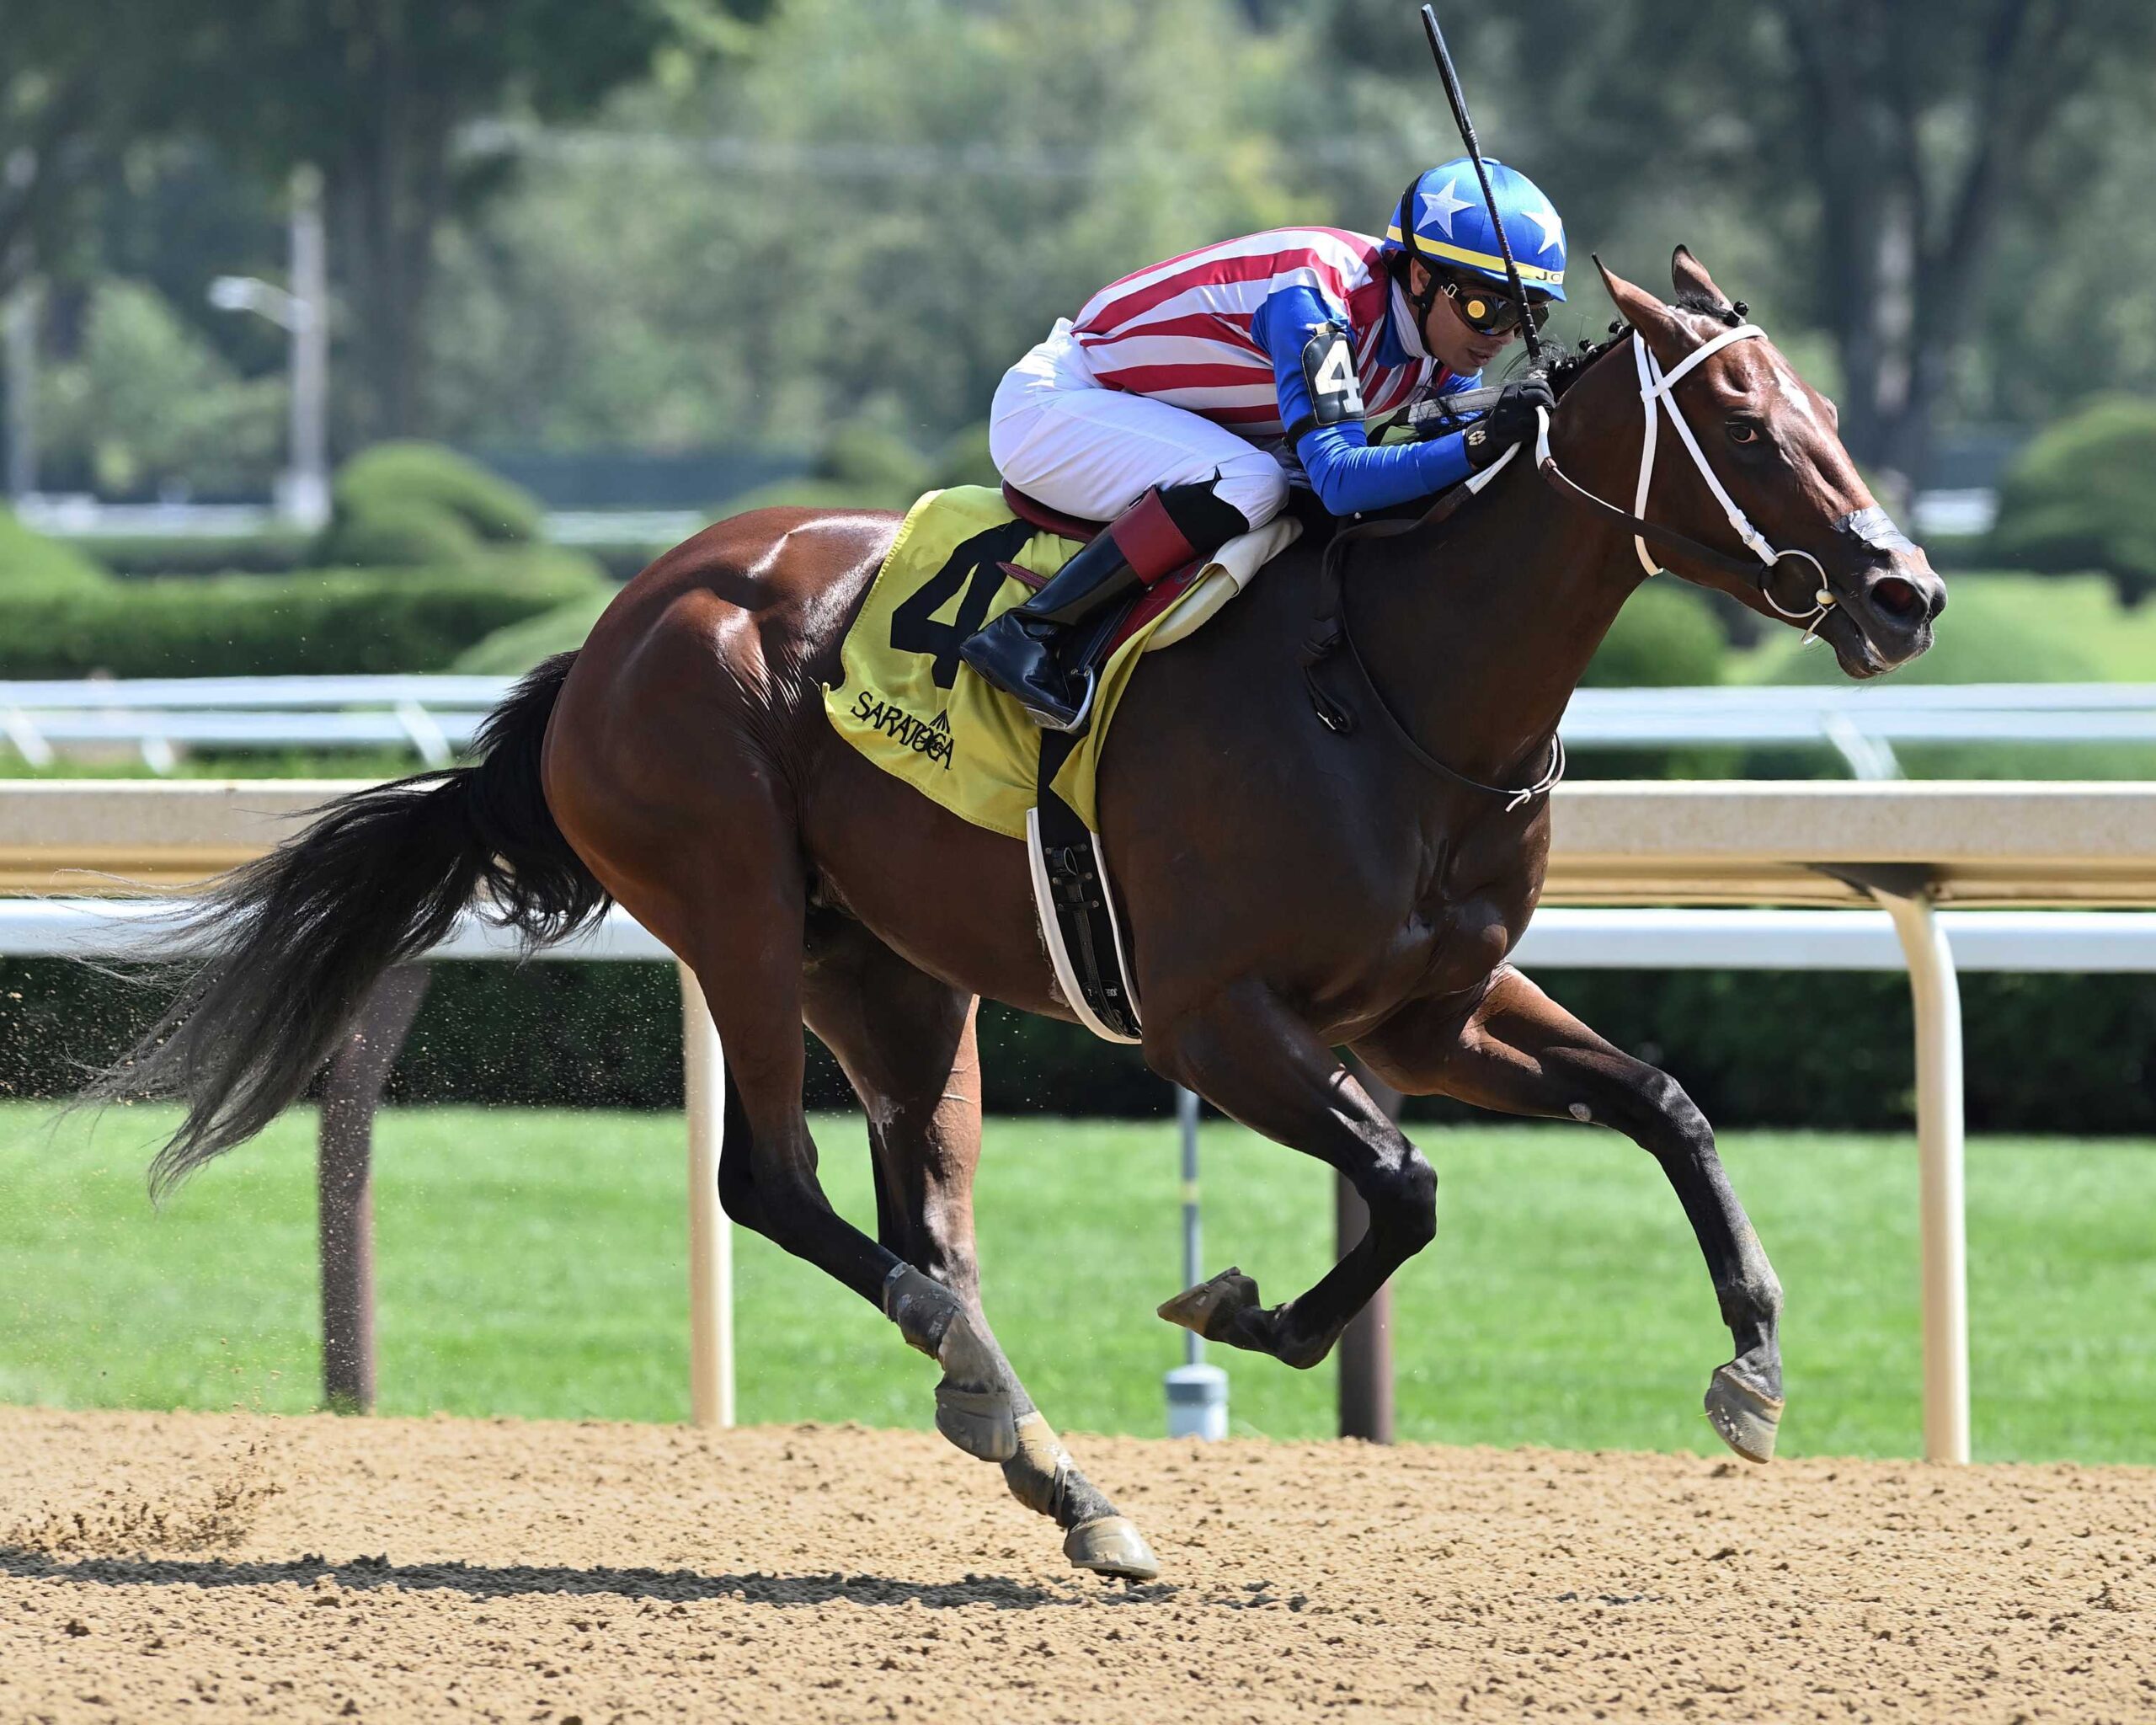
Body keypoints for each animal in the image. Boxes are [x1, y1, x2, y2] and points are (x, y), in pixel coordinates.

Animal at [93, 249, 1944, 1582]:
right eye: (1753, 429)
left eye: (1827, 402)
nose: (1906, 588)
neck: (1393, 685)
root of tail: (617, 624)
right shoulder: (1214, 1015)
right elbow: (1406, 1185)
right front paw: (1243, 1311)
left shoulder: (1431, 1007)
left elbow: (1661, 1102)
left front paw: (1753, 1367)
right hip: (734, 906)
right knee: (775, 1180)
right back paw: (985, 1383)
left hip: (897, 975)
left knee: (928, 1218)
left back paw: (1049, 1460)